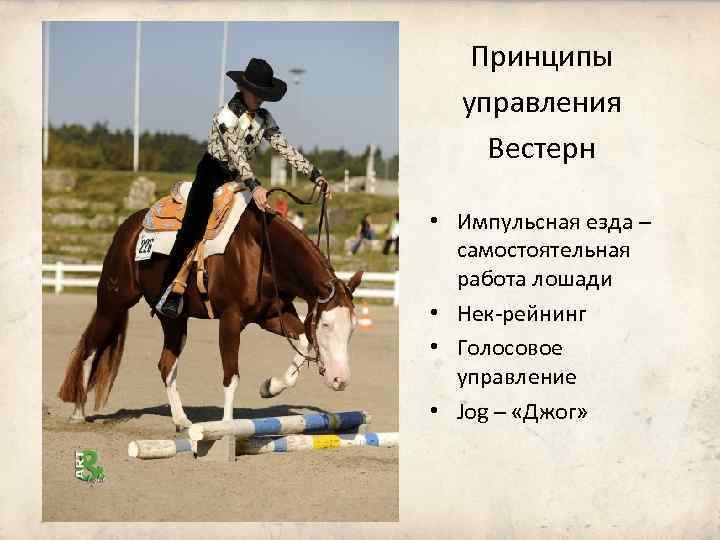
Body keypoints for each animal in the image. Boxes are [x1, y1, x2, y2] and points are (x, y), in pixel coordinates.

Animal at [57, 188, 363, 431]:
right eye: (326, 325)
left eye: (352, 329)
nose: (341, 379)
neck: (262, 251)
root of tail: (128, 228)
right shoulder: (231, 319)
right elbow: (231, 376)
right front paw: (227, 428)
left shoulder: (271, 315)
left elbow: (302, 341)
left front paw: (270, 387)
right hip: (113, 302)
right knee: (89, 349)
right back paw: (78, 411)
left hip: (173, 318)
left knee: (166, 364)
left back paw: (182, 421)